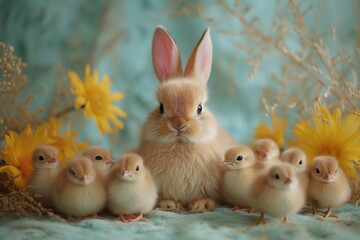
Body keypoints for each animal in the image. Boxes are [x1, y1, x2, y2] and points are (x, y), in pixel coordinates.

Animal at [136, 25, 236, 212]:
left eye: (199, 108)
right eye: (161, 107)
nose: (178, 124)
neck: (180, 144)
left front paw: (201, 204)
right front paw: (169, 204)